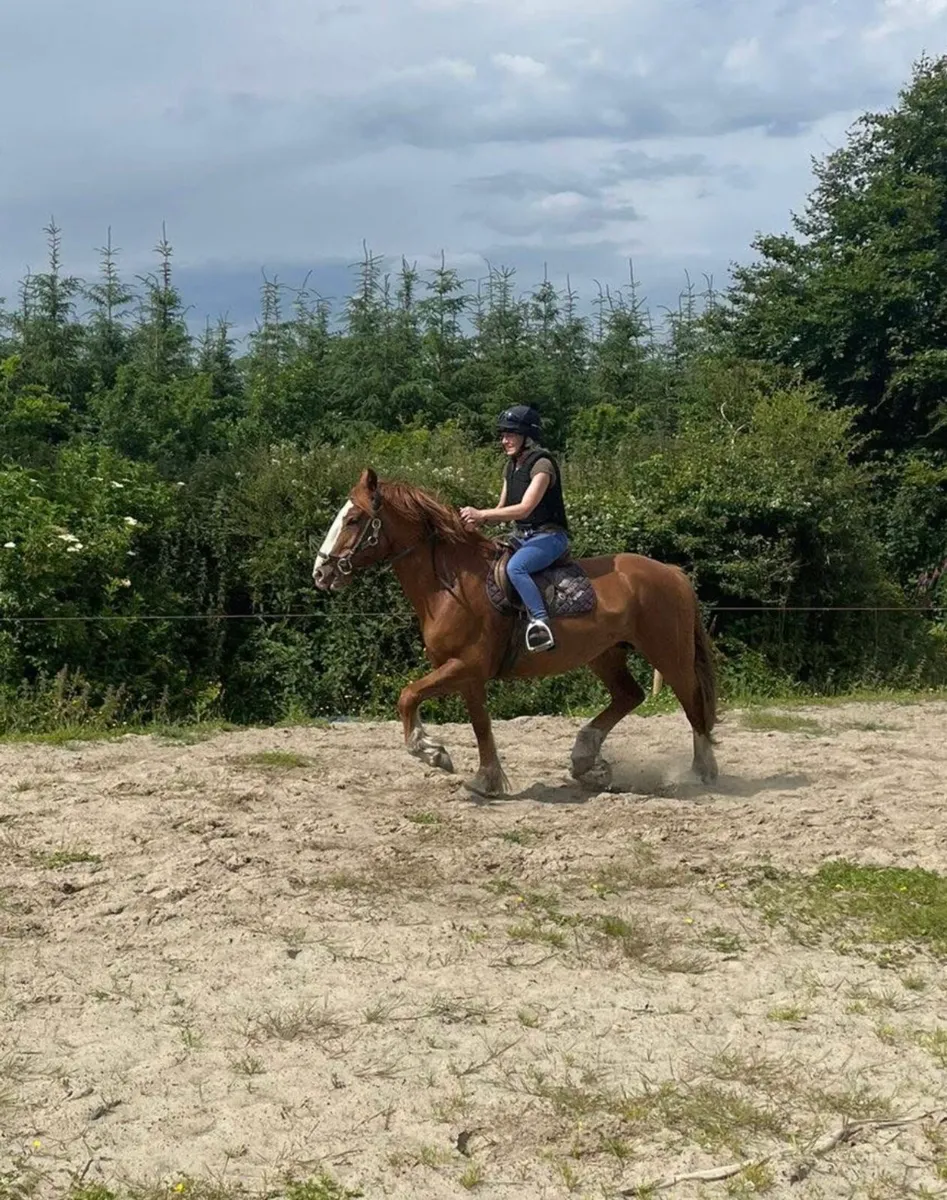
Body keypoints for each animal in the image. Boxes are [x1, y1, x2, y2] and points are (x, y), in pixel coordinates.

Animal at [312, 468, 719, 797]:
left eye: (353, 520)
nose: (321, 572)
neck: (451, 585)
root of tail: (671, 572)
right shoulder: (466, 674)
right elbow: (480, 725)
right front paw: (486, 779)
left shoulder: (465, 666)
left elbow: (408, 696)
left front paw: (431, 752)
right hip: (606, 655)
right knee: (629, 696)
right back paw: (585, 759)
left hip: (668, 654)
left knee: (692, 704)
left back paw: (701, 773)